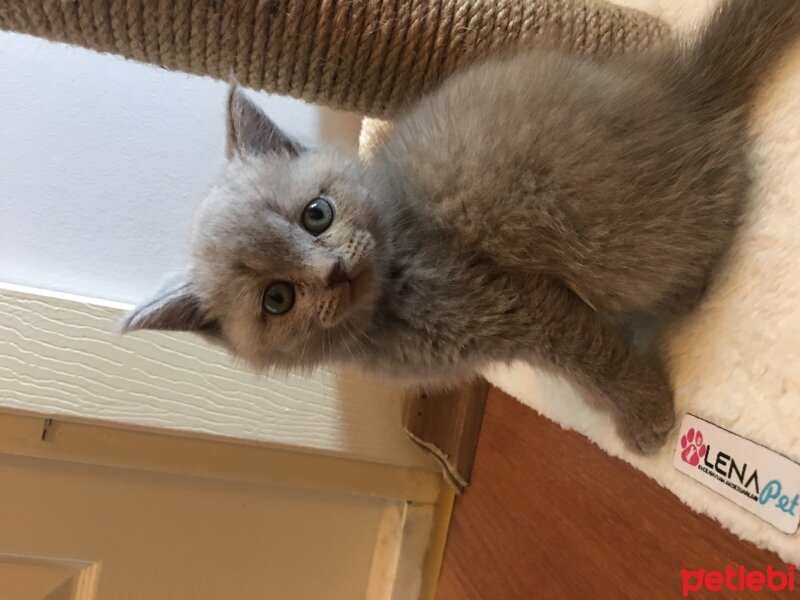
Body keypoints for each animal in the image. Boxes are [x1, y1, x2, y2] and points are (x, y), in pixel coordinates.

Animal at [122, 0, 800, 452]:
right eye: (277, 299)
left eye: (317, 214)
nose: (334, 270)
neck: (392, 299)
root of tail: (686, 88)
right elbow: (583, 360)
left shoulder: (516, 302)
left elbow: (591, 355)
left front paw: (645, 413)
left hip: (613, 240)